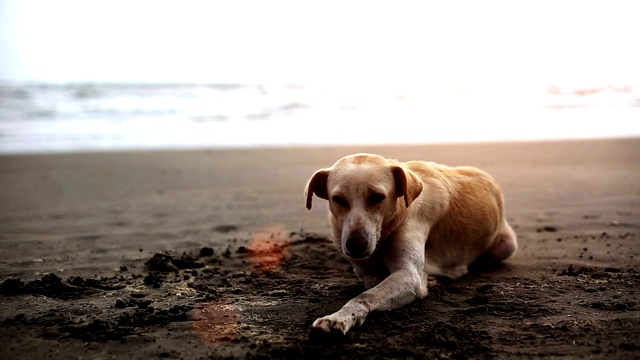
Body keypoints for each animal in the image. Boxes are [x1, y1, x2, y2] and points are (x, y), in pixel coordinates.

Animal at [302, 153, 516, 336]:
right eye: (338, 199)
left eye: (377, 197)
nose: (355, 246)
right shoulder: (365, 269)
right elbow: (372, 282)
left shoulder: (409, 275)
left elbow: (366, 296)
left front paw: (338, 318)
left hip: (507, 246)